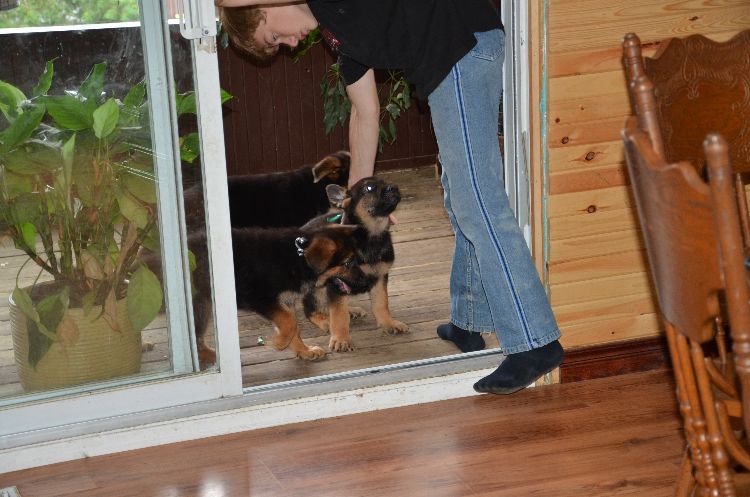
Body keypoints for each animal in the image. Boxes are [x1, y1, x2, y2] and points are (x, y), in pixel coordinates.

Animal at [185, 223, 368, 362]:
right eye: (348, 263)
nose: (366, 282)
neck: (298, 258)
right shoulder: (261, 299)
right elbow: (289, 322)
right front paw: (279, 343)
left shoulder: (285, 300)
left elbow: (293, 327)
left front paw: (304, 351)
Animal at [302, 176, 412, 350]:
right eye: (369, 188)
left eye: (386, 182)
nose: (394, 188)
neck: (370, 237)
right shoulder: (335, 281)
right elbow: (338, 313)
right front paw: (341, 338)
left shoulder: (380, 276)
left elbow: (381, 303)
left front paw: (388, 323)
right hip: (316, 286)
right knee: (311, 309)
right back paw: (326, 321)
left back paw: (351, 310)